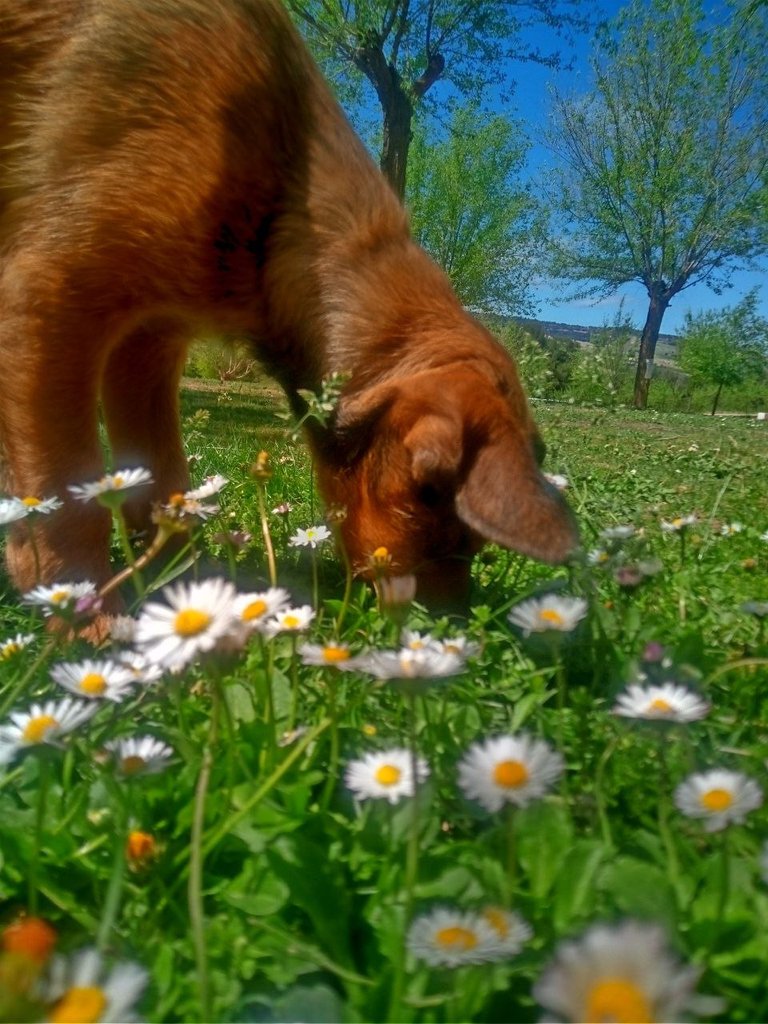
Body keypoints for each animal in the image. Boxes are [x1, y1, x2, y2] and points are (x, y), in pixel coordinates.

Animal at [0, 0, 577, 606]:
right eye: (431, 502)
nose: (454, 620)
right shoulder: (48, 297)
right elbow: (66, 503)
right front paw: (87, 612)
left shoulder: (148, 346)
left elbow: (162, 482)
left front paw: (180, 586)